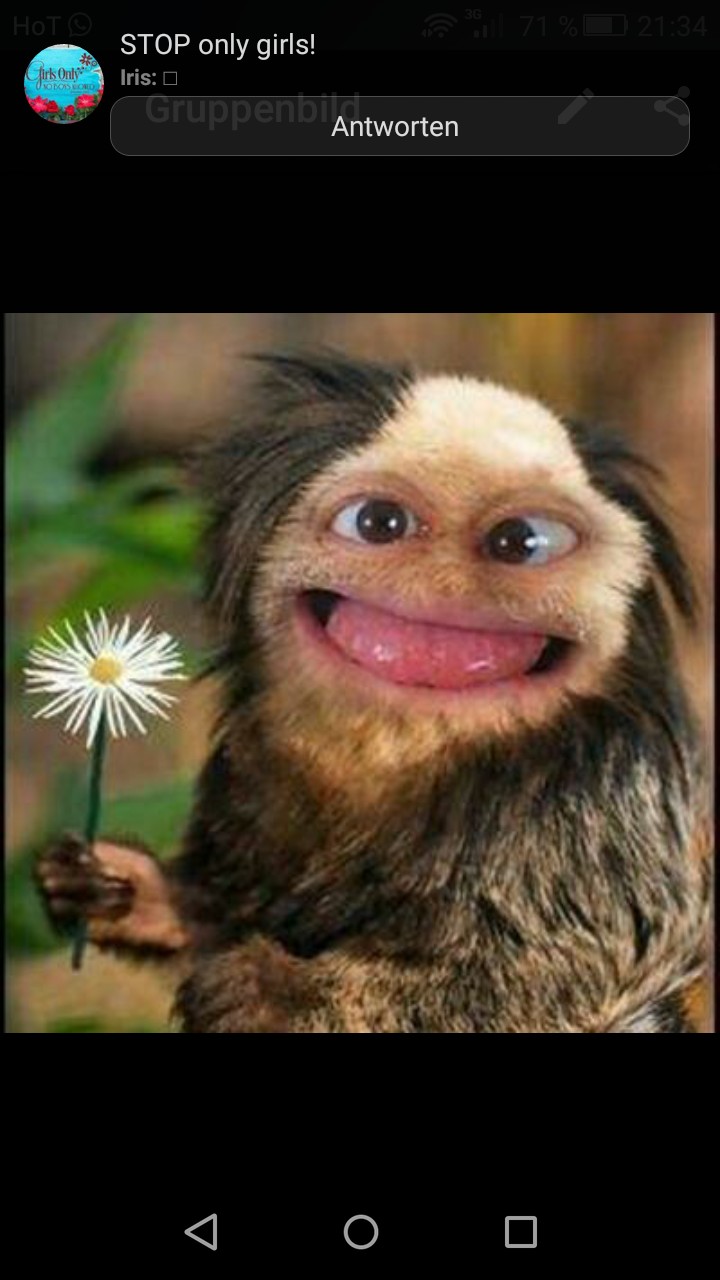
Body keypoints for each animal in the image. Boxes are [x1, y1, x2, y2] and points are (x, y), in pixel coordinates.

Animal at [36, 352, 711, 1032]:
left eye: (522, 540)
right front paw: (134, 896)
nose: (445, 586)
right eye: (378, 524)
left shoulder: (606, 802)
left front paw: (277, 991)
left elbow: (563, 968)